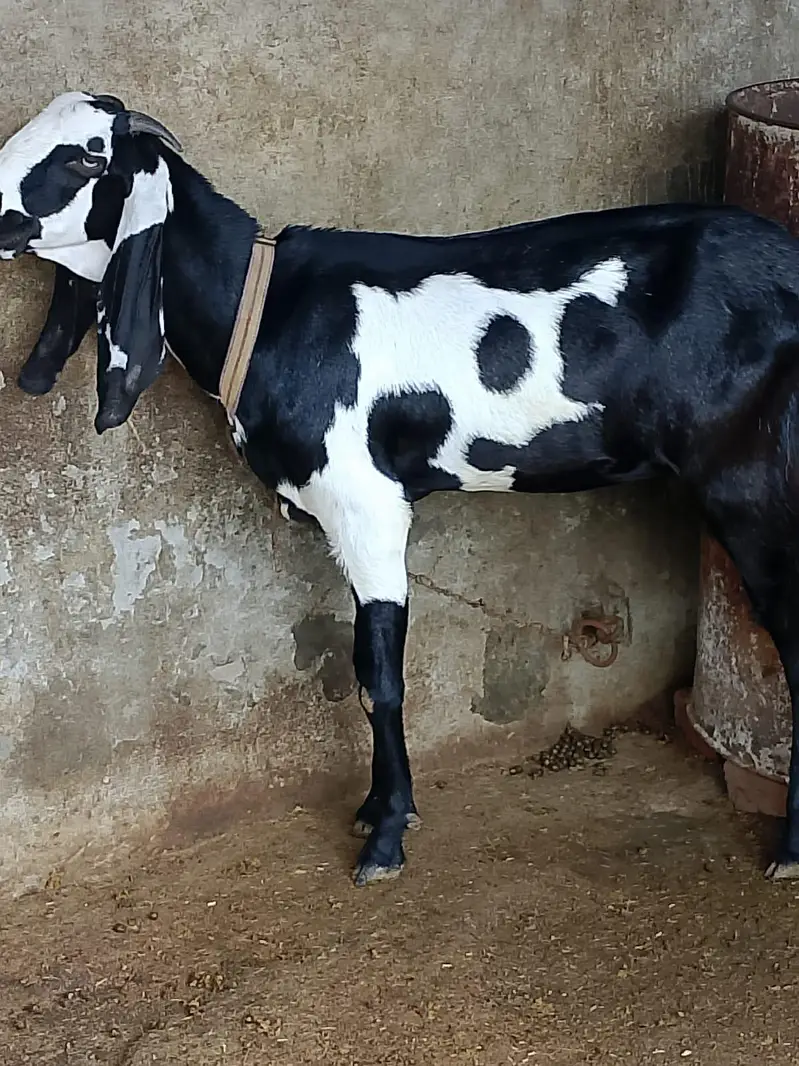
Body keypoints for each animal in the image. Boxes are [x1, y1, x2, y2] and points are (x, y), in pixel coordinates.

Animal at [2, 91, 799, 887]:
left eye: (86, 157)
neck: (265, 313)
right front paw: (378, 811)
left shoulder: (368, 506)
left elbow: (377, 679)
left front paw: (385, 836)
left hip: (757, 494)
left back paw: (787, 851)